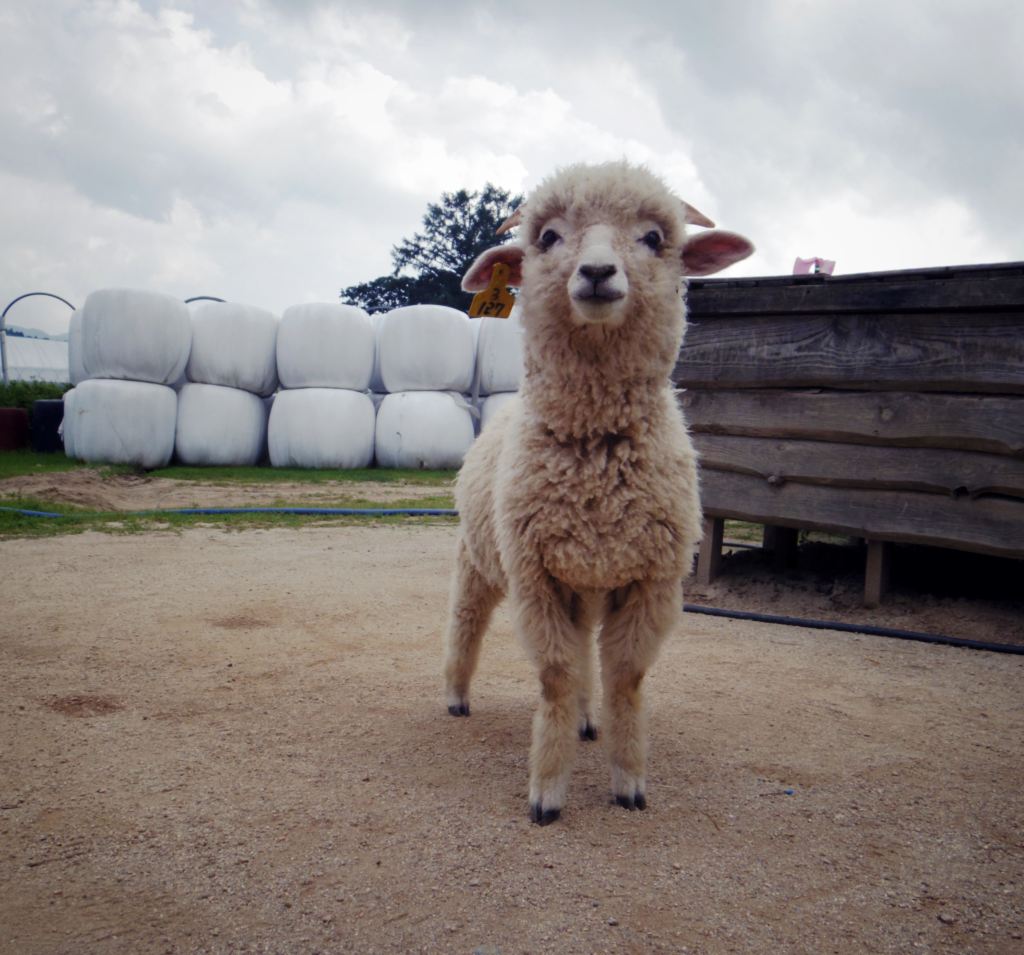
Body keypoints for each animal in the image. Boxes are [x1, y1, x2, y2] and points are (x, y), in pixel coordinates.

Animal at [440, 160, 753, 822]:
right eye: (548, 237)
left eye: (655, 239)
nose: (598, 273)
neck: (597, 454)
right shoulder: (534, 579)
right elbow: (555, 677)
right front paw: (547, 791)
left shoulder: (651, 581)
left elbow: (625, 678)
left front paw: (628, 779)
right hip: (479, 557)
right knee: (465, 619)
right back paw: (455, 694)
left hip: (585, 583)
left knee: (587, 653)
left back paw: (588, 721)